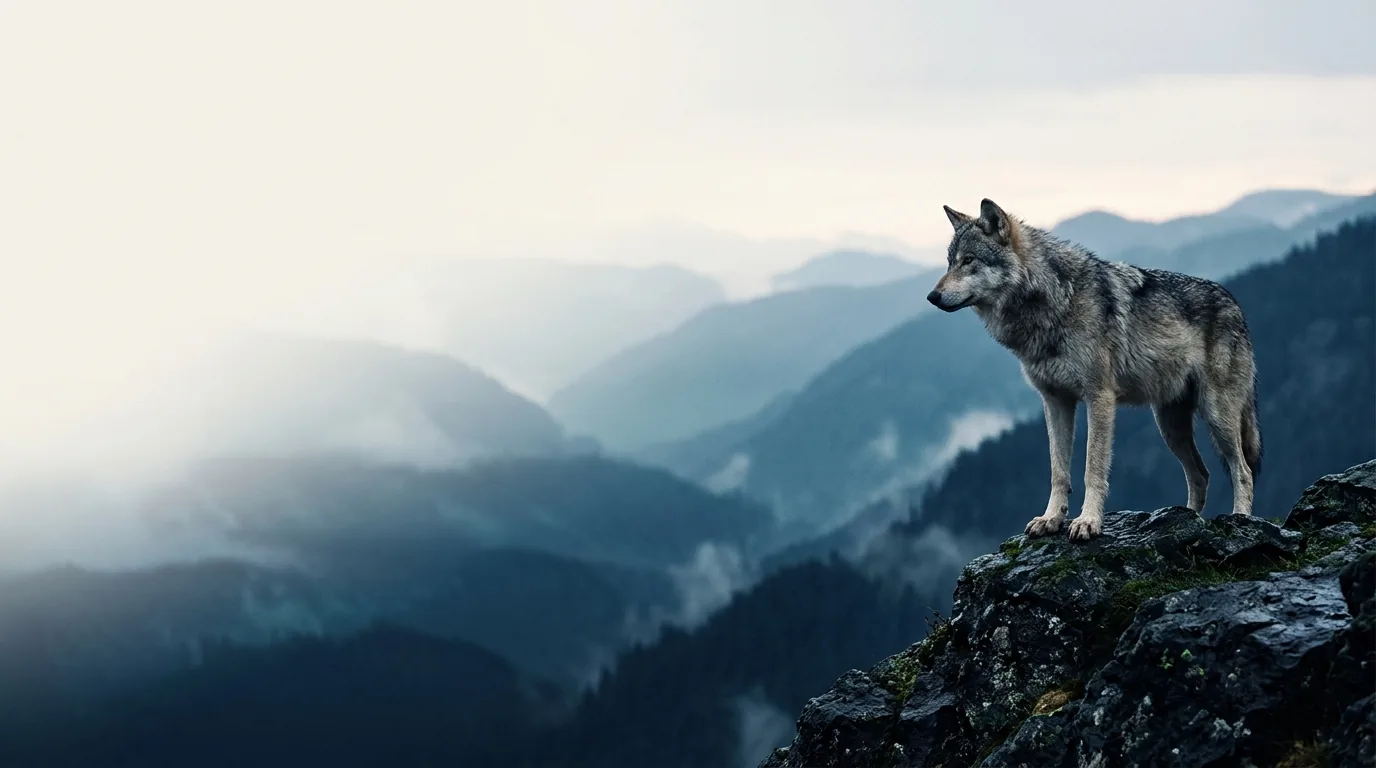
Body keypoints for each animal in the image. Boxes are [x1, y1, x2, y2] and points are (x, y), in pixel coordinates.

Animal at [926, 199, 1262, 540]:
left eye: (969, 261)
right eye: (950, 263)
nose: (932, 296)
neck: (1055, 300)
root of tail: (1235, 303)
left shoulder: (1099, 398)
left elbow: (1093, 468)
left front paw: (1088, 522)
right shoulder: (1055, 402)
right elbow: (1058, 470)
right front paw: (1051, 519)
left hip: (1217, 416)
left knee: (1243, 470)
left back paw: (1240, 519)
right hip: (1170, 428)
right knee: (1201, 473)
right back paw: (1186, 519)